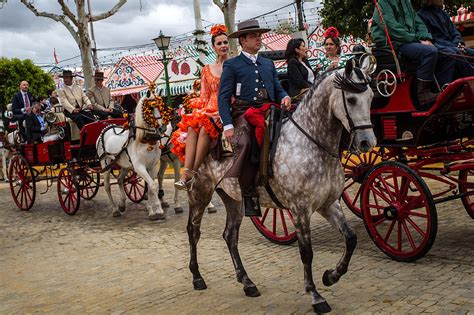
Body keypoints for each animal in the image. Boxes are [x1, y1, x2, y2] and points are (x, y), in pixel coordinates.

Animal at [187, 59, 376, 314]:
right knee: (194, 231)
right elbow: (306, 252)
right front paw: (315, 295)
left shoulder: (328, 204)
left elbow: (351, 238)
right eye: (352, 99)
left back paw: (247, 282)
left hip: (233, 199)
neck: (311, 142)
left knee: (230, 236)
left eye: (372, 97)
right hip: (200, 192)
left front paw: (331, 276)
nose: (368, 142)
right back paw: (197, 277)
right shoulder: (300, 209)